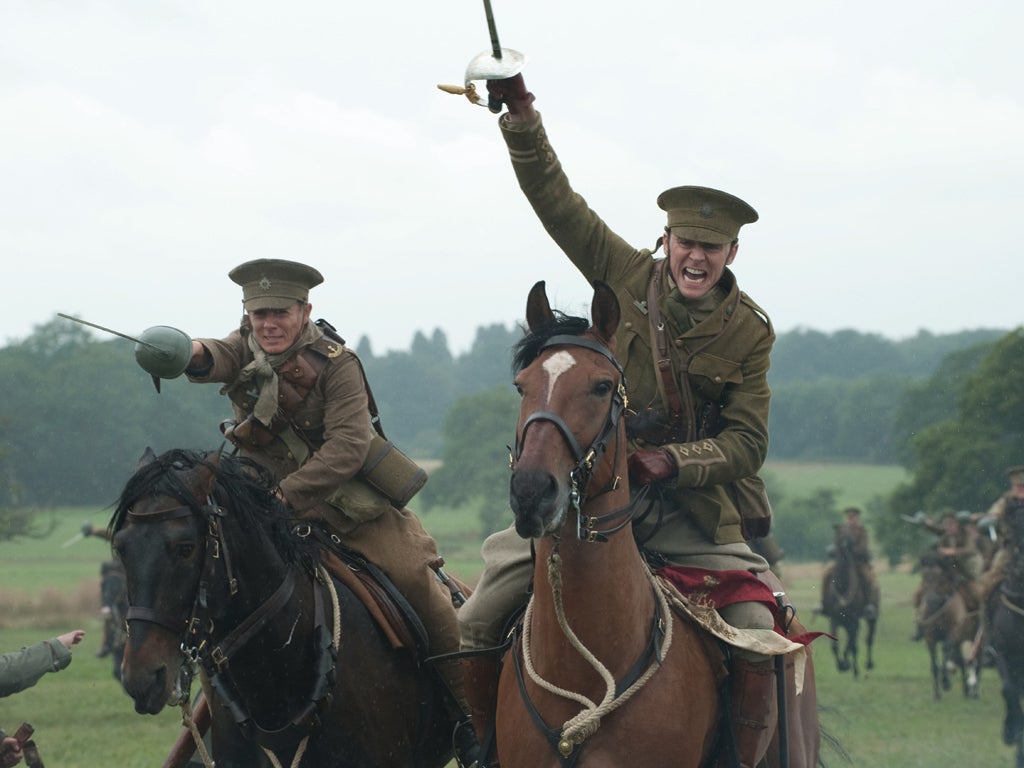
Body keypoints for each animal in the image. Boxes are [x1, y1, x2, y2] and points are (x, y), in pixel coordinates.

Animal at [819, 528, 876, 675]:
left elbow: (851, 644)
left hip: (871, 619)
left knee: (868, 639)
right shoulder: (835, 619)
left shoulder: (854, 620)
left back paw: (867, 664)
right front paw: (841, 665)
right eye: (839, 536)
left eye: (851, 541)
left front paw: (846, 664)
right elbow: (835, 645)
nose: (845, 547)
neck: (842, 585)